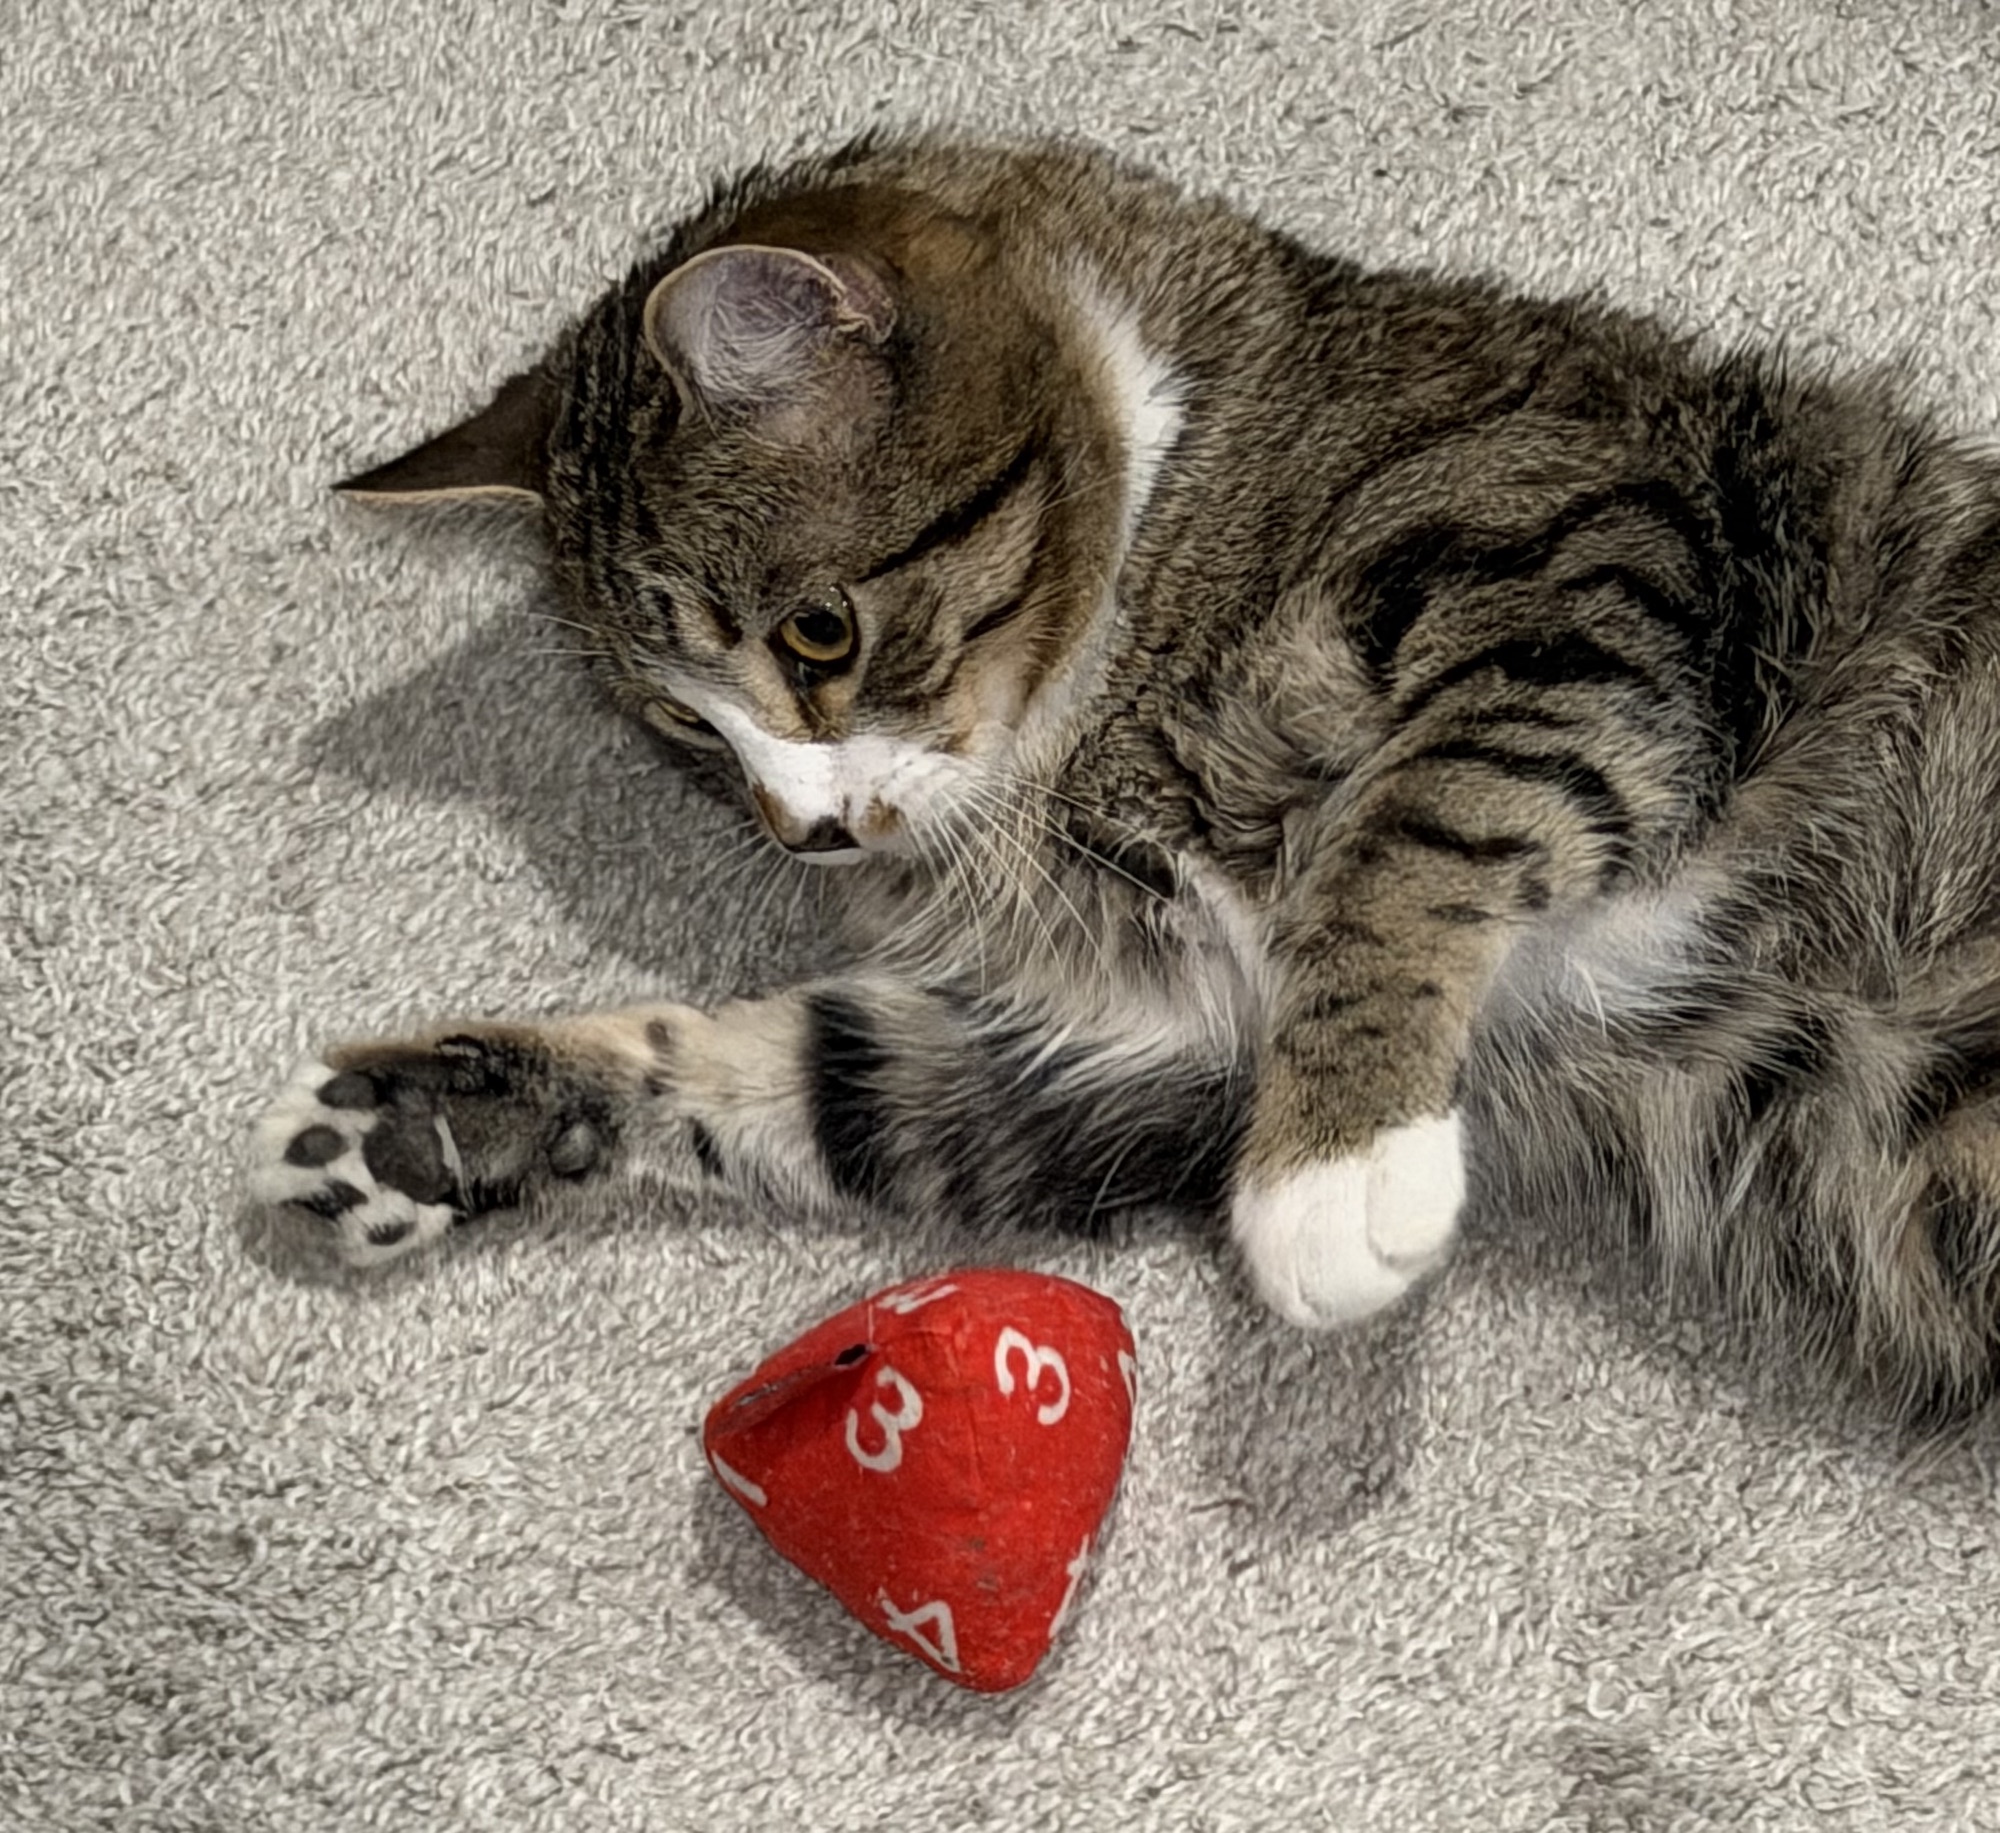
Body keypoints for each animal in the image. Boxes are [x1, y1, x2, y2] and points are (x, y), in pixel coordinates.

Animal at [252, 132, 2000, 1420]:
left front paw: (1339, 1164)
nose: (806, 832)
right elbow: (796, 1079)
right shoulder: (1143, 1058)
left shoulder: (1597, 553)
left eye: (818, 633)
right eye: (686, 728)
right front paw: (417, 1125)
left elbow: (1415, 820)